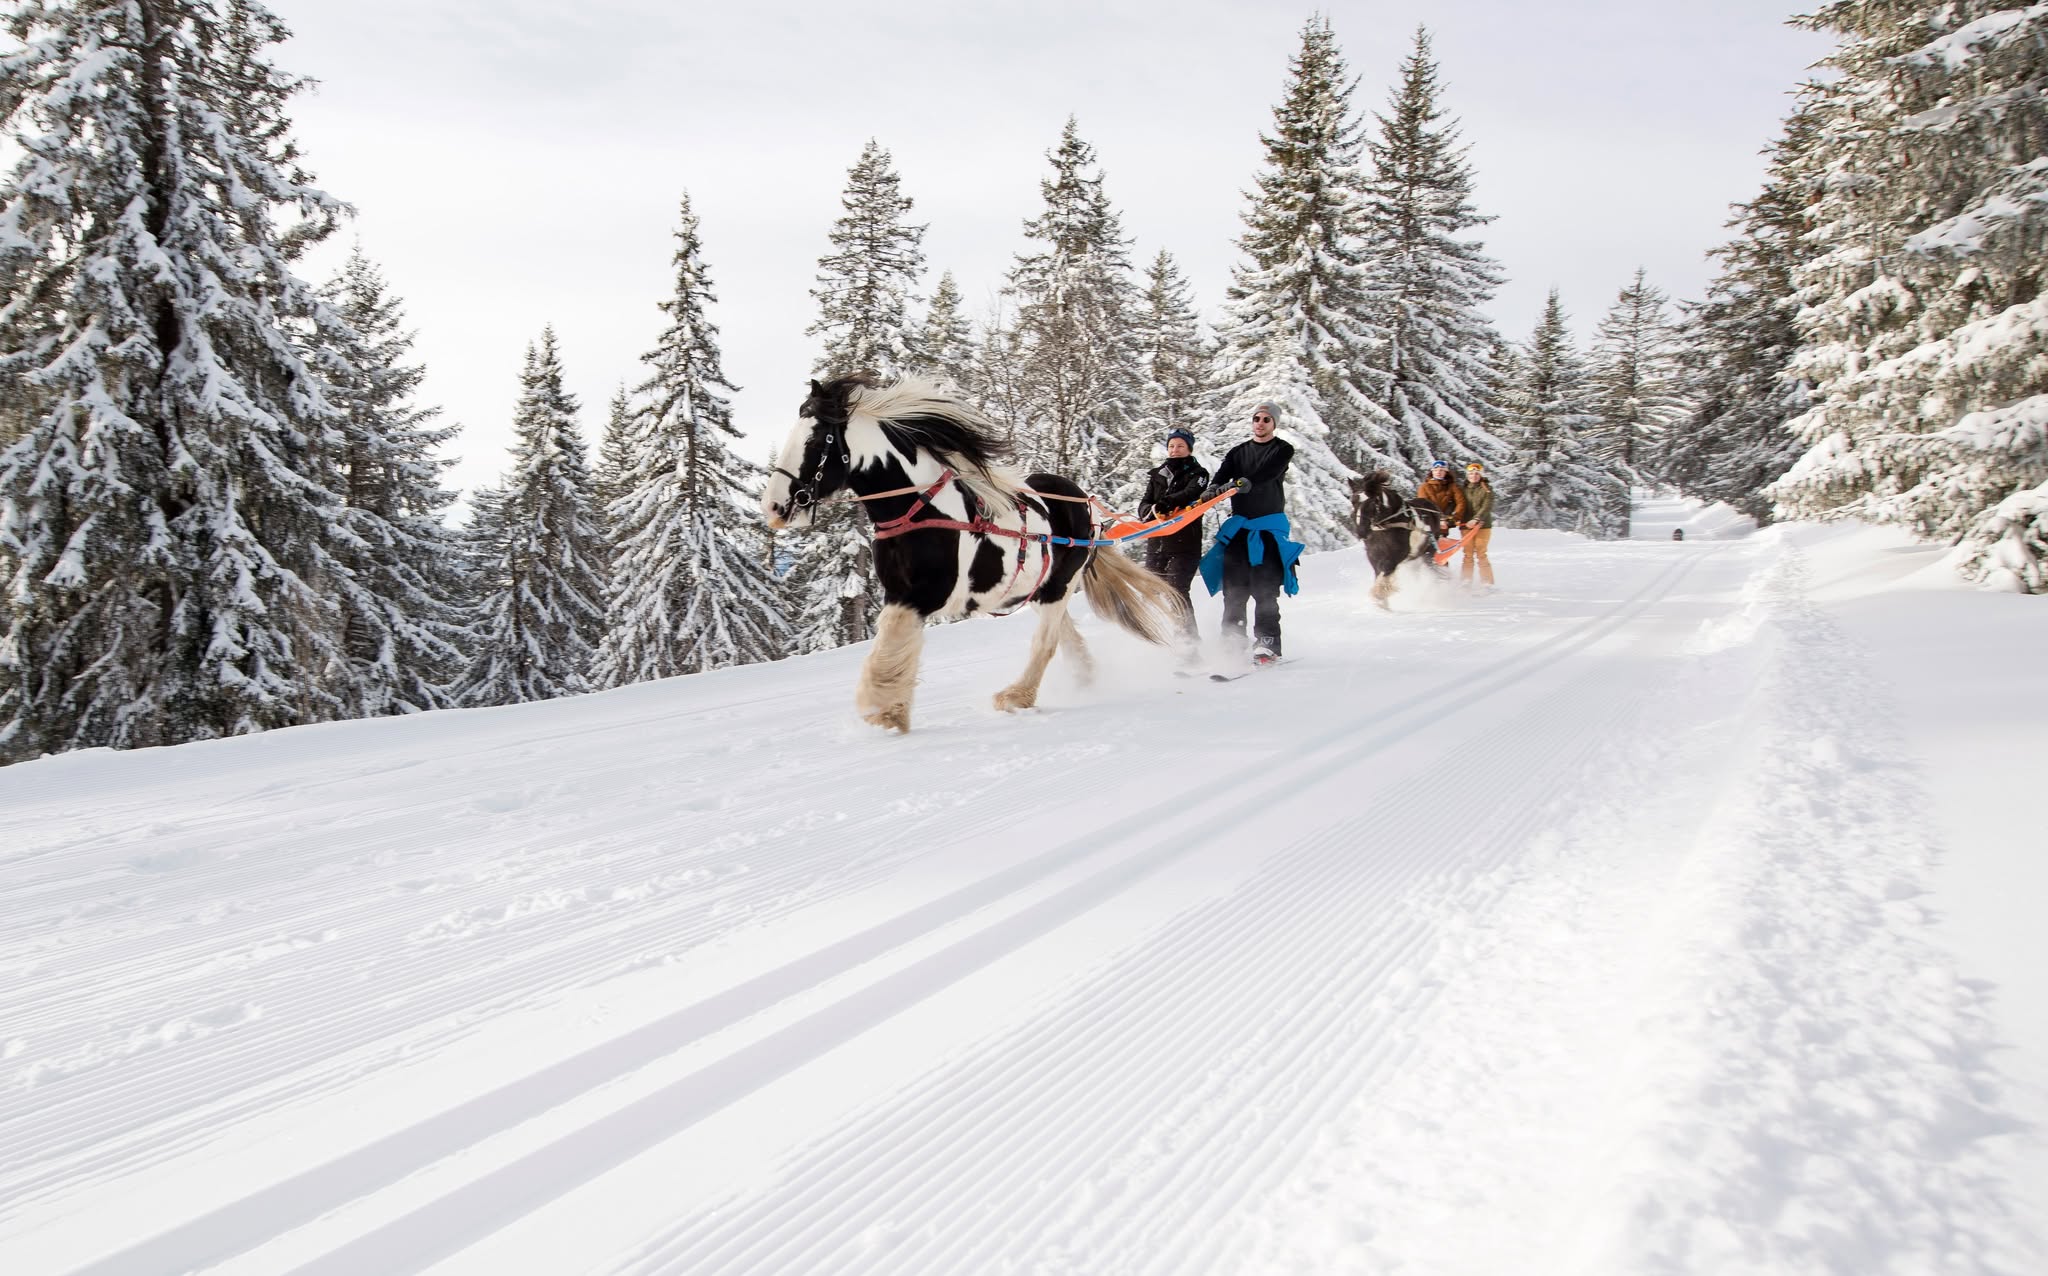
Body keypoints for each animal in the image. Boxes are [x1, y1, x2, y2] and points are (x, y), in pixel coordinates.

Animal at [765, 374, 1187, 733]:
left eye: (816, 442)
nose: (775, 506)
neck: (921, 510)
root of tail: (1083, 502)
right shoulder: (899, 593)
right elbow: (892, 644)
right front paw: (891, 710)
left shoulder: (922, 596)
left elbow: (890, 647)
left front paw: (881, 711)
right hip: (1039, 589)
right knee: (1063, 635)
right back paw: (1083, 678)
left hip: (1059, 584)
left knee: (1046, 643)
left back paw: (1016, 696)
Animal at [1351, 469, 1449, 610]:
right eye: (1353, 501)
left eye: (1372, 502)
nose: (1361, 532)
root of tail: (1432, 506)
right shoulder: (1373, 555)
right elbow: (1378, 572)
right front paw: (1382, 604)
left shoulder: (1398, 554)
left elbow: (1386, 569)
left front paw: (1379, 595)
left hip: (1428, 550)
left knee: (1432, 569)